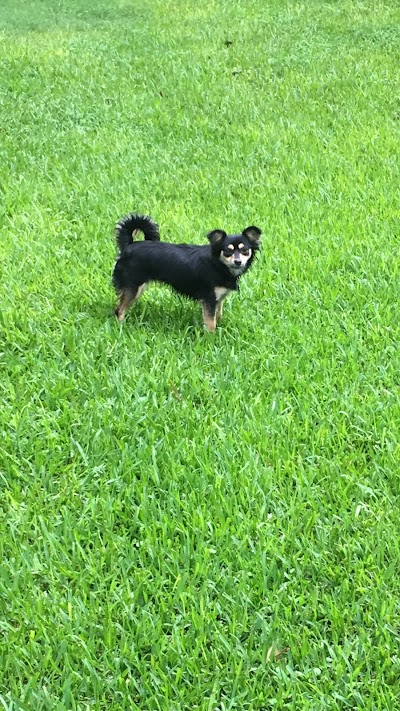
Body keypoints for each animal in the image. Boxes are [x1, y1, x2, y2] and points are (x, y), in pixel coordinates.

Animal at [112, 213, 262, 332]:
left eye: (244, 250)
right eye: (227, 251)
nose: (238, 262)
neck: (219, 265)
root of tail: (128, 246)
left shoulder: (218, 299)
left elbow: (218, 316)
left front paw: (220, 326)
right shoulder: (209, 299)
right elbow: (210, 322)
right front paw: (211, 338)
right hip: (133, 287)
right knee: (119, 310)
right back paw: (121, 327)